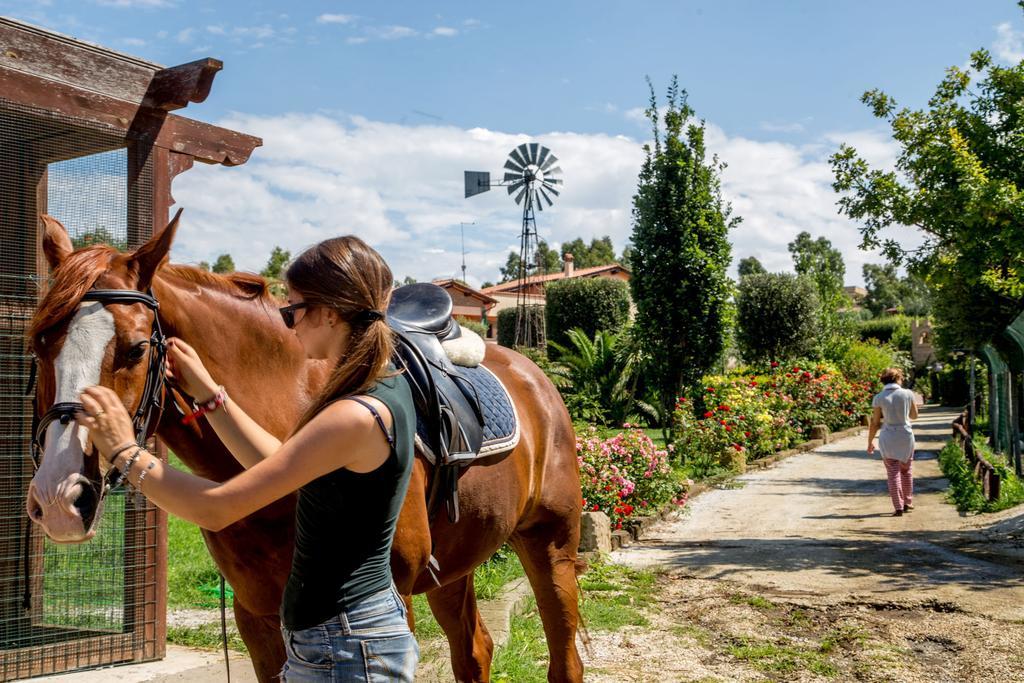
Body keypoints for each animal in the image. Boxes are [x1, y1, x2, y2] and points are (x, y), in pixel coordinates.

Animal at [25, 214, 585, 683]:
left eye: (137, 348)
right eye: (37, 344)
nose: (59, 498)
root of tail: (536, 375)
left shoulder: (393, 599)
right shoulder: (256, 615)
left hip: (551, 545)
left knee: (565, 661)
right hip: (455, 566)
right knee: (475, 652)